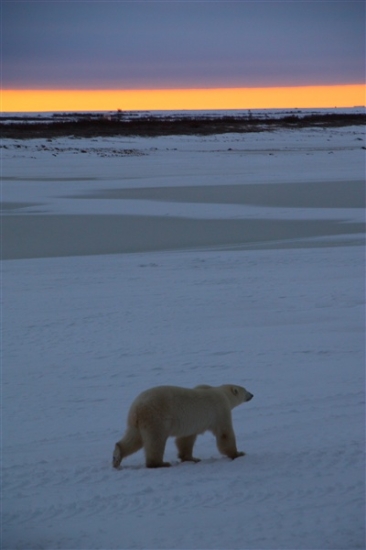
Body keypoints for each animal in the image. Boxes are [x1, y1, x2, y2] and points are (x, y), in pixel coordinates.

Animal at [113, 384, 253, 470]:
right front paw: (238, 453)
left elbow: (185, 439)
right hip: (156, 418)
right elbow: (224, 434)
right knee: (155, 441)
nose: (252, 395)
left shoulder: (191, 423)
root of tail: (137, 408)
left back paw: (117, 457)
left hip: (136, 422)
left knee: (133, 438)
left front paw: (191, 458)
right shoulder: (220, 410)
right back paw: (160, 463)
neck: (221, 392)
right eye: (245, 390)